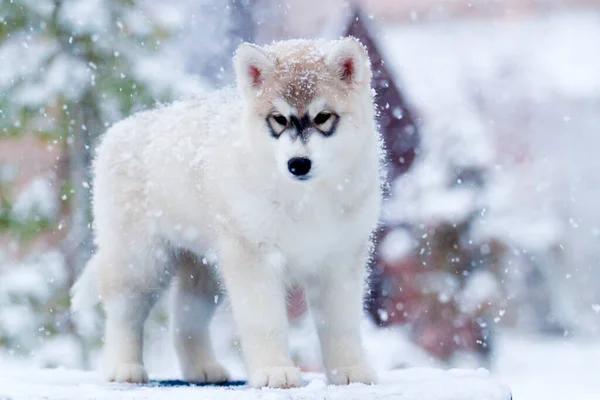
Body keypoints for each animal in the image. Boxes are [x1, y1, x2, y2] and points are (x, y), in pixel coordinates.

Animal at [72, 37, 382, 388]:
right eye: (278, 119)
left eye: (323, 117)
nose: (298, 164)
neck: (307, 199)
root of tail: (118, 131)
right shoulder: (254, 257)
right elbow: (265, 321)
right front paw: (274, 370)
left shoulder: (341, 260)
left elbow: (341, 324)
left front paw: (350, 371)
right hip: (140, 260)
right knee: (124, 312)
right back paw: (123, 366)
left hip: (203, 270)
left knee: (185, 319)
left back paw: (202, 368)